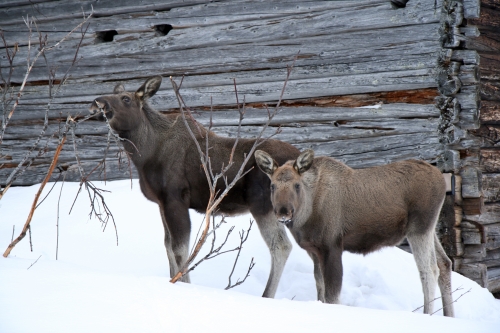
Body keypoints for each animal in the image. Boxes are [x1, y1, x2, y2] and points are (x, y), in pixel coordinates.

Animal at [89, 75, 300, 296]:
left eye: (126, 99)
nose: (97, 103)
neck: (144, 154)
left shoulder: (175, 199)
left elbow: (180, 250)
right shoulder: (162, 203)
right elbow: (168, 246)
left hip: (263, 205)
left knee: (281, 246)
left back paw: (267, 295)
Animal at [256, 149, 456, 316]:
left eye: (297, 185)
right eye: (273, 186)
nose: (283, 212)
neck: (307, 214)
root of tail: (441, 178)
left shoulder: (332, 246)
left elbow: (332, 297)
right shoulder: (315, 250)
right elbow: (321, 289)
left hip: (419, 228)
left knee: (429, 269)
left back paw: (427, 315)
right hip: (429, 229)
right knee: (445, 263)